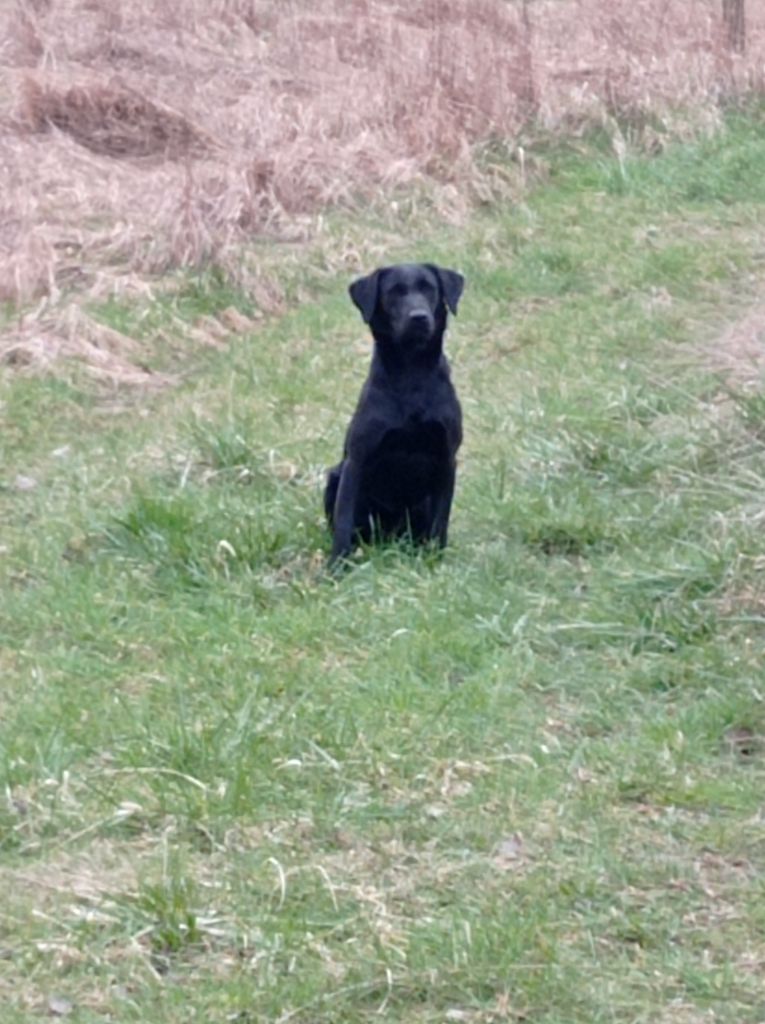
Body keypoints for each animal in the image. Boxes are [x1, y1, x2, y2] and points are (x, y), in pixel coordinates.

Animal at [324, 262, 464, 565]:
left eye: (429, 288)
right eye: (393, 293)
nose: (419, 317)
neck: (411, 375)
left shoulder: (447, 459)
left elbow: (441, 520)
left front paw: (435, 560)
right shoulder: (356, 461)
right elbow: (343, 522)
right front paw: (337, 566)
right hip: (334, 476)